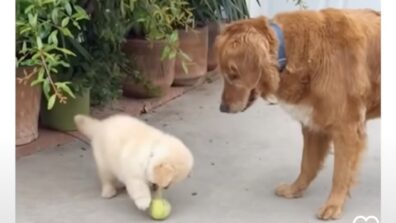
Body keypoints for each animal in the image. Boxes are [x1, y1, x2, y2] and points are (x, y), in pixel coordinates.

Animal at [217, 8, 380, 220]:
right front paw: (295, 189)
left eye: (233, 73)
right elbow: (307, 164)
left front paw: (333, 204)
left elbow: (340, 173)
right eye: (224, 73)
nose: (222, 108)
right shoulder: (313, 126)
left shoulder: (346, 128)